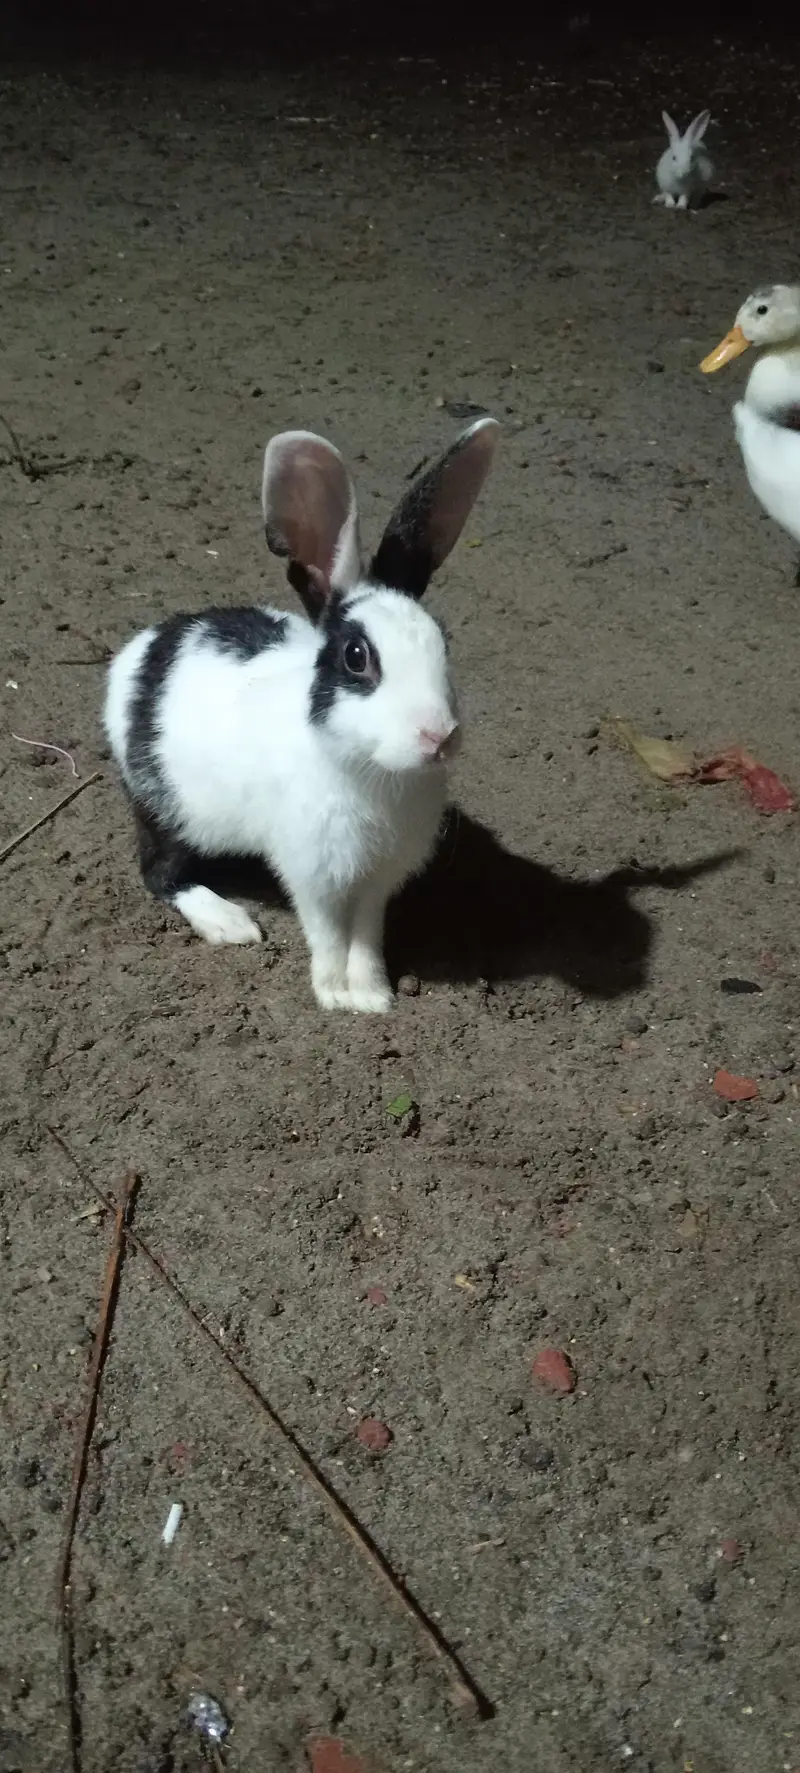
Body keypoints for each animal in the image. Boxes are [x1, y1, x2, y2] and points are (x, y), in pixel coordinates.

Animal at [103, 416, 500, 1013]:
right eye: (356, 657)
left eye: (443, 643)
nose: (439, 737)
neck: (368, 772)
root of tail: (141, 651)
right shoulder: (313, 873)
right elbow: (328, 931)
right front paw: (335, 995)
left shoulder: (378, 881)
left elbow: (366, 933)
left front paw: (373, 994)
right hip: (164, 810)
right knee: (159, 873)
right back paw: (229, 922)